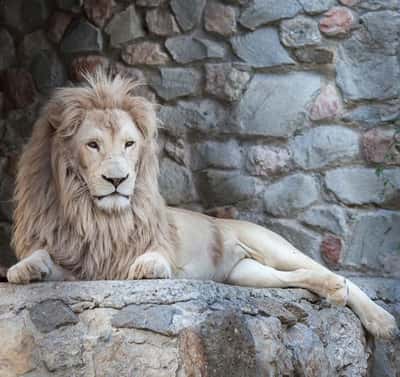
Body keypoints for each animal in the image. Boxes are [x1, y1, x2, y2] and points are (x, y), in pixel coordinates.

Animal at [6, 71, 396, 338]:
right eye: (92, 145)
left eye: (130, 144)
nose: (118, 180)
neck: (96, 213)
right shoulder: (79, 264)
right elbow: (37, 259)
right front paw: (24, 269)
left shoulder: (155, 243)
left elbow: (155, 254)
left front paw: (146, 267)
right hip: (246, 274)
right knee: (300, 278)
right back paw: (332, 291)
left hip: (272, 246)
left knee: (336, 274)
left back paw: (381, 320)